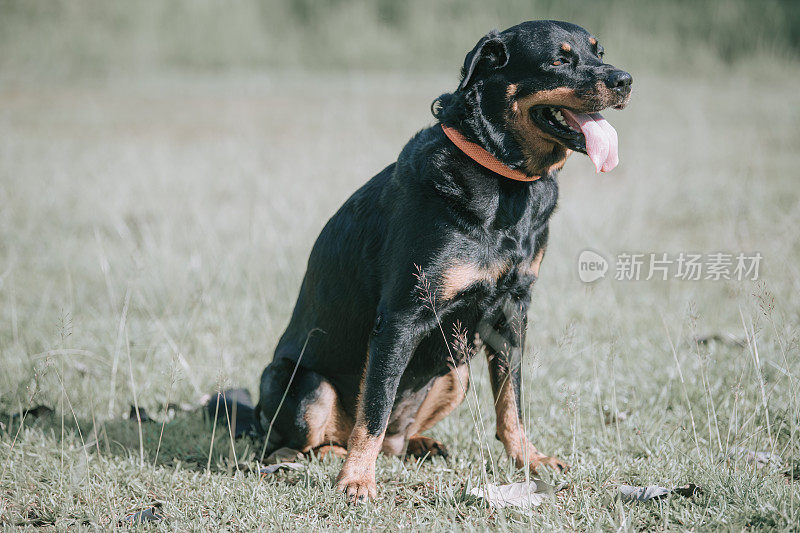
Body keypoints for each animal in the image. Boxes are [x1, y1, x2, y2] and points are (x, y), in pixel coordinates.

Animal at [255, 20, 632, 500]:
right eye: (558, 59)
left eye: (599, 52)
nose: (625, 80)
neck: (503, 180)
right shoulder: (402, 315)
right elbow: (374, 408)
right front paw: (357, 480)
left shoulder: (512, 313)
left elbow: (512, 403)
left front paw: (530, 460)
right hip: (308, 387)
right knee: (296, 443)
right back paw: (333, 454)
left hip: (457, 372)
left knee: (395, 438)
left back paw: (423, 443)